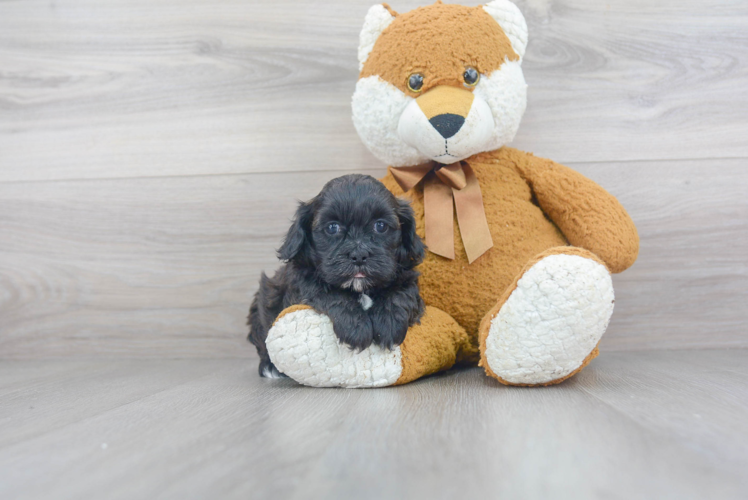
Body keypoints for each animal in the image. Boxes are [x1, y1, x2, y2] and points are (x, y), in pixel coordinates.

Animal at [248, 174, 424, 376]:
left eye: (380, 226)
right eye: (333, 228)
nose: (359, 255)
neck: (360, 288)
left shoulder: (407, 278)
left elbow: (401, 292)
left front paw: (389, 323)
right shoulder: (302, 283)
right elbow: (329, 293)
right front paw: (356, 328)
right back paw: (269, 367)